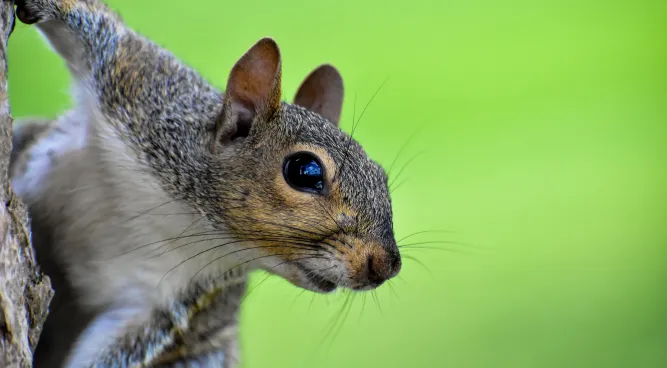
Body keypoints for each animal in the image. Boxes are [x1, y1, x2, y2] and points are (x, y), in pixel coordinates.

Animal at [9, 1, 402, 366]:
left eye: (381, 177)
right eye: (305, 171)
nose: (387, 266)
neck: (190, 217)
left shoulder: (165, 303)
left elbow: (120, 350)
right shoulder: (139, 84)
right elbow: (101, 28)